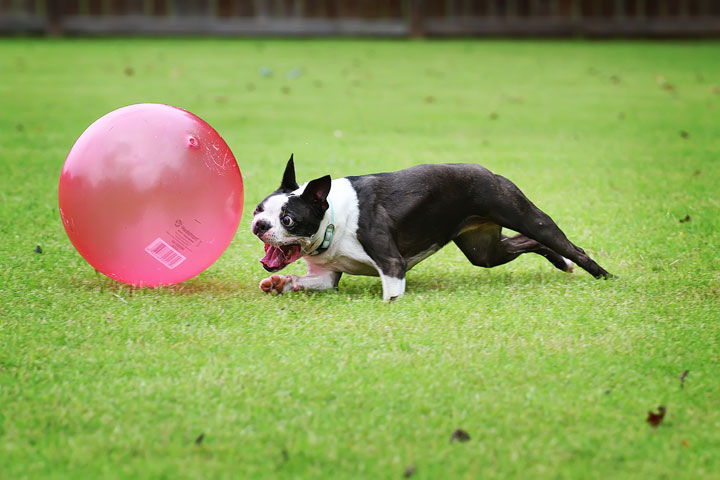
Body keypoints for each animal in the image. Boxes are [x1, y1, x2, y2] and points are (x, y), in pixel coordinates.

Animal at [250, 156, 612, 302]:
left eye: (288, 220)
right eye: (257, 209)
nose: (259, 225)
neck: (333, 218)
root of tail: (486, 170)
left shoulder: (392, 265)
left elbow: (391, 295)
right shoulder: (325, 278)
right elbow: (304, 281)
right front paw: (280, 284)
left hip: (524, 215)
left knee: (568, 246)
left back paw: (604, 277)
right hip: (485, 252)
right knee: (529, 242)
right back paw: (562, 264)